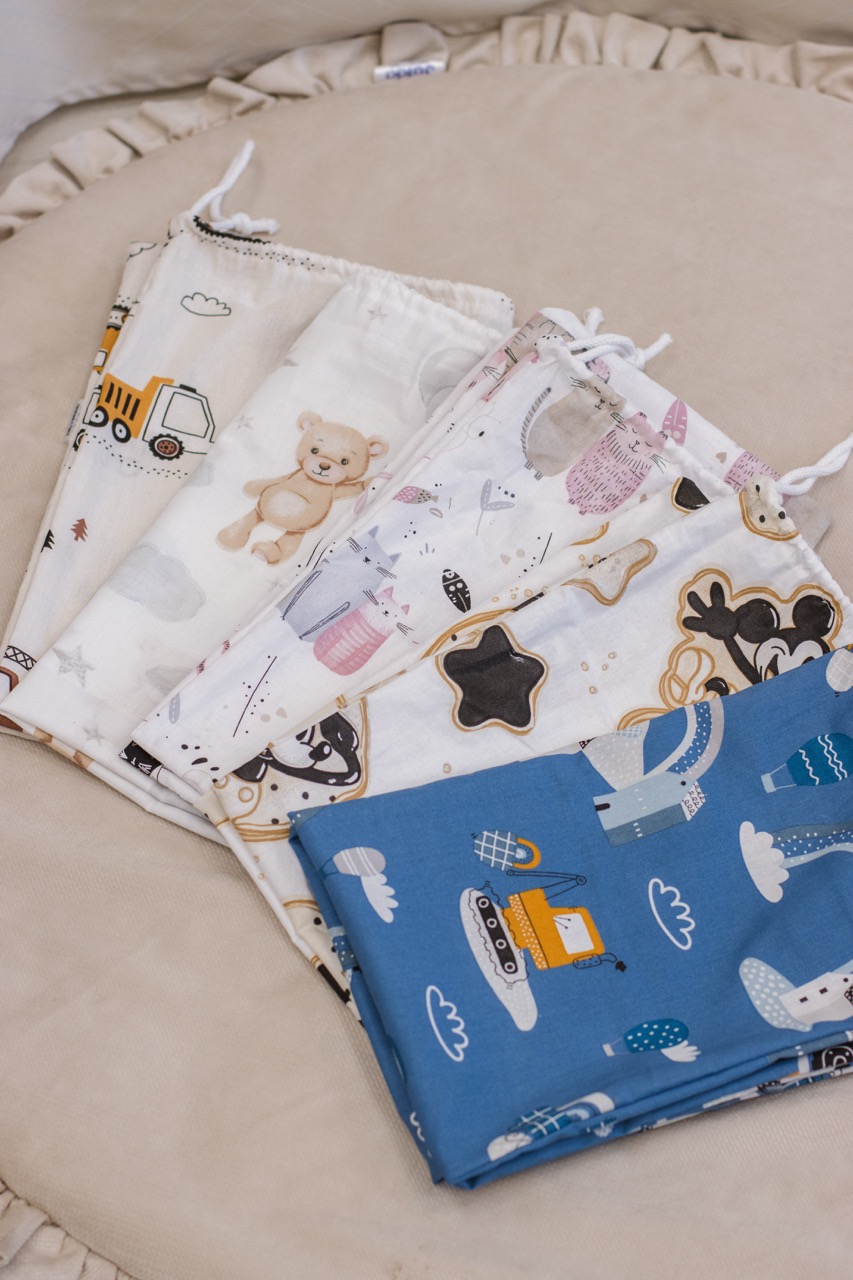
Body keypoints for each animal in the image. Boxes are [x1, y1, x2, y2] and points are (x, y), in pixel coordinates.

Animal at [217, 410, 389, 565]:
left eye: (345, 461)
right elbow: (273, 480)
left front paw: (369, 482)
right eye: (314, 450)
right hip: (262, 507)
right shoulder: (292, 475)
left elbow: (351, 488)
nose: (324, 465)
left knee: (287, 546)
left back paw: (263, 553)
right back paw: (230, 538)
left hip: (296, 532)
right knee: (249, 519)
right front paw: (251, 487)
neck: (313, 482)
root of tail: (275, 522)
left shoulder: (335, 490)